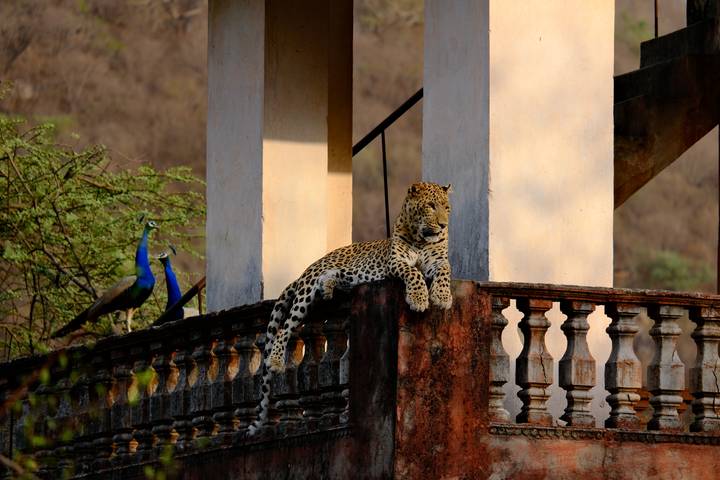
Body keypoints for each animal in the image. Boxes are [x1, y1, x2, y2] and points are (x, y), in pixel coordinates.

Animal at [249, 181, 453, 434]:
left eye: (446, 208)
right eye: (431, 206)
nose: (443, 225)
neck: (421, 238)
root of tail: (309, 268)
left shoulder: (439, 261)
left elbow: (444, 272)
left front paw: (442, 295)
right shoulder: (396, 262)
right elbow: (413, 272)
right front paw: (419, 298)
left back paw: (329, 287)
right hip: (306, 291)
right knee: (285, 326)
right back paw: (276, 359)